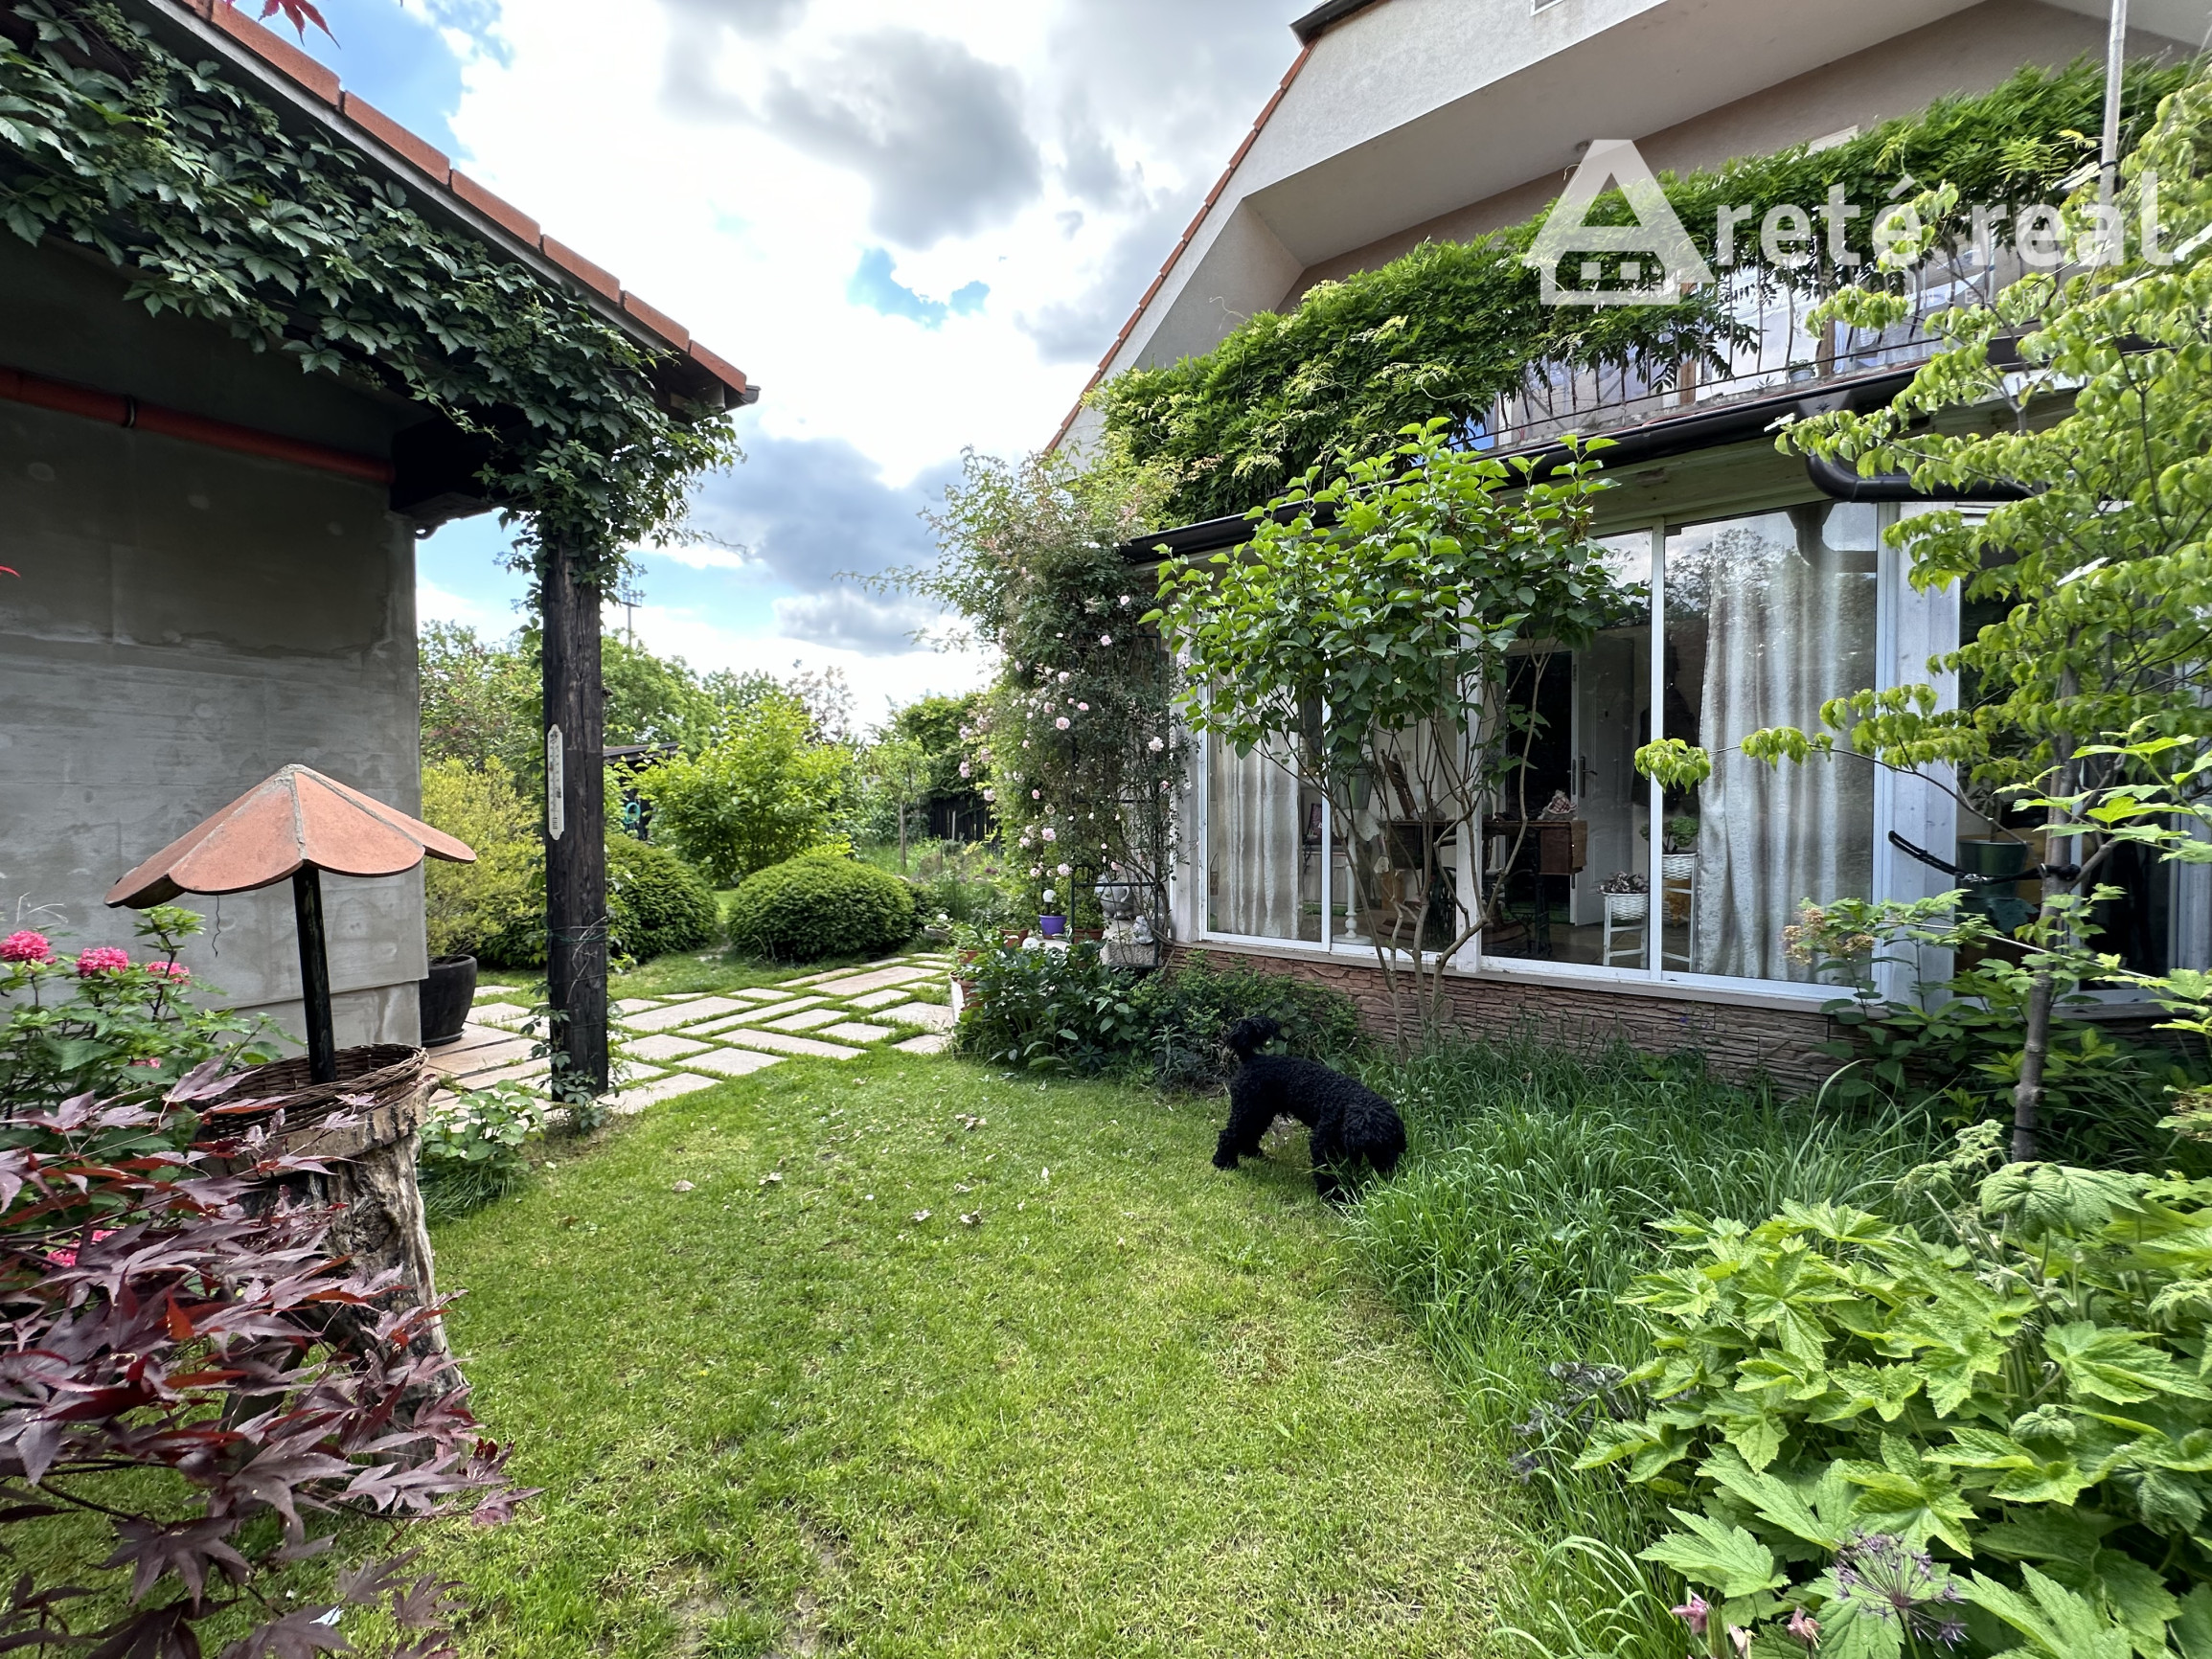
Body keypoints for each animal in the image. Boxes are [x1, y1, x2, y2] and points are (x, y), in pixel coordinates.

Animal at [1211, 1016, 1406, 1204]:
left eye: (1391, 1142)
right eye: (1375, 1146)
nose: (1388, 1169)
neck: (1350, 1101)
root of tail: (1251, 1057)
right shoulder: (1322, 1143)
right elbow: (1327, 1172)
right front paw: (1334, 1197)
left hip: (1260, 1112)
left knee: (1249, 1133)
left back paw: (1252, 1153)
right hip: (1248, 1110)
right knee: (1228, 1135)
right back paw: (1224, 1162)